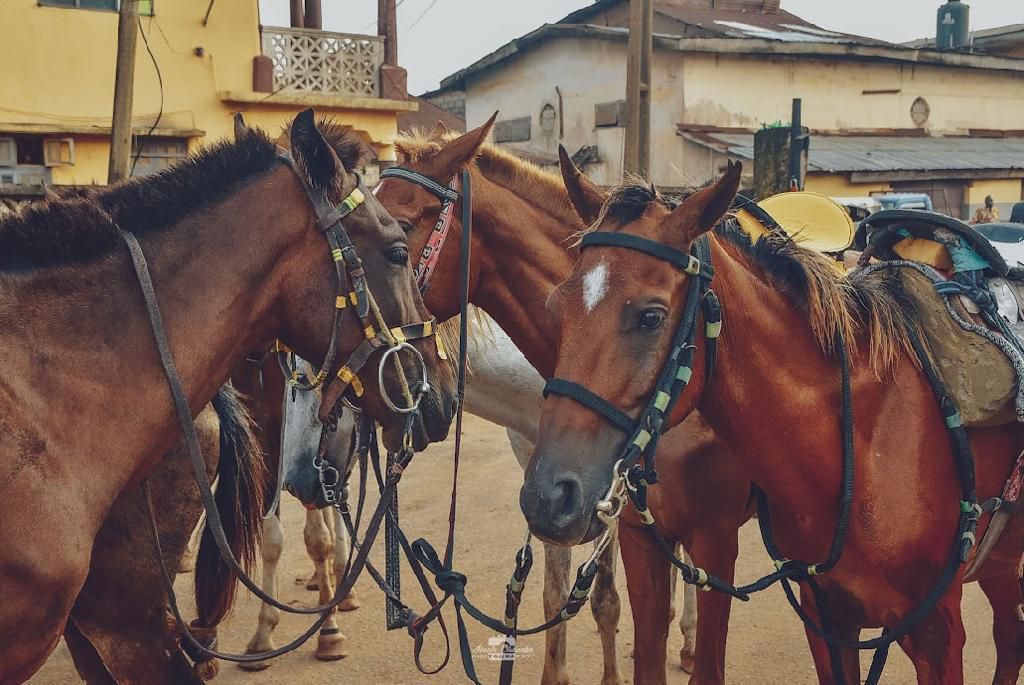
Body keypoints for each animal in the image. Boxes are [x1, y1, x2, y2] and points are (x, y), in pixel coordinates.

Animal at [522, 160, 1024, 684]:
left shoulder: (937, 633)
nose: (547, 497)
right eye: (556, 307)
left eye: (651, 317)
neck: (864, 450)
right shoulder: (827, 617)